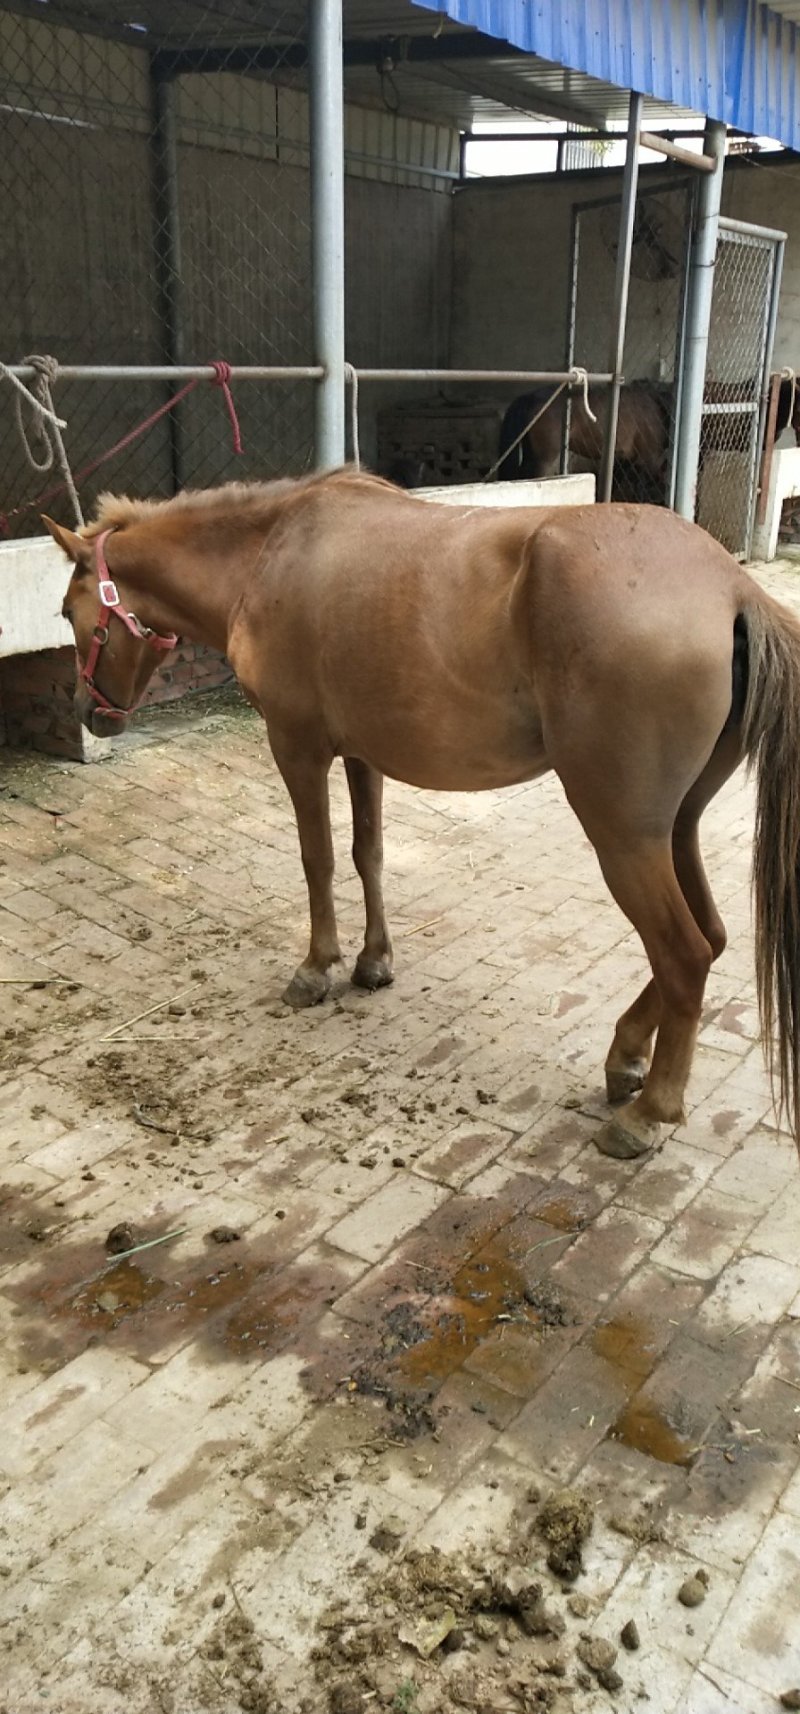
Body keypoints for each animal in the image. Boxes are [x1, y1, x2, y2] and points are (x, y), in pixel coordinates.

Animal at [44, 470, 800, 1166]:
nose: (88, 713)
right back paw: (626, 1057)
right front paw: (373, 961)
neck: (269, 551)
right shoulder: (363, 753)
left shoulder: (296, 747)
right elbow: (367, 854)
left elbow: (317, 859)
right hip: (676, 829)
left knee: (684, 954)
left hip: (624, 836)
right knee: (711, 938)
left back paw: (648, 1113)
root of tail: (731, 588)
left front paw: (316, 968)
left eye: (67, 612)